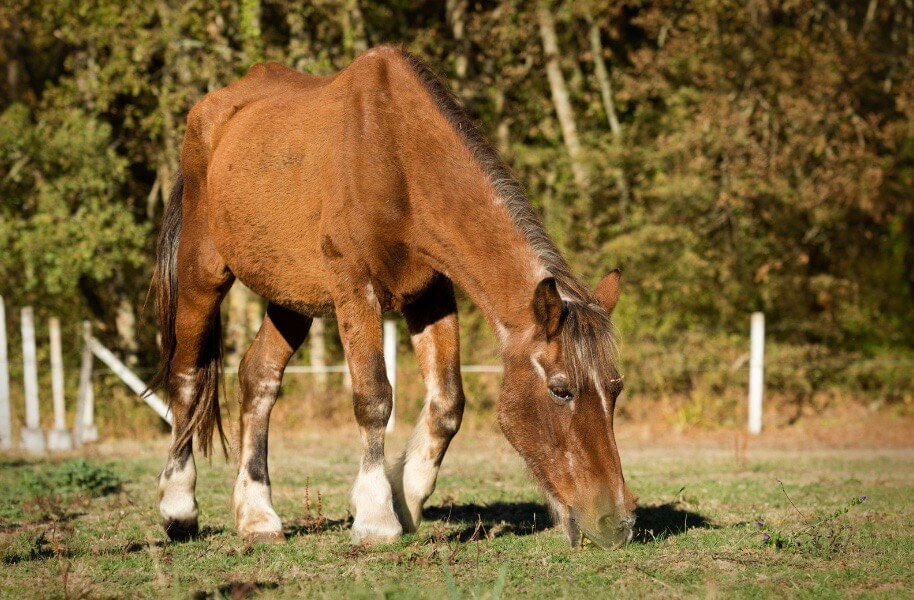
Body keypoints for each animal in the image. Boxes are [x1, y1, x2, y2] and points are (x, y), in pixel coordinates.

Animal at [151, 46, 635, 549]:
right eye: (561, 389)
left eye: (616, 388)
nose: (617, 523)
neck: (397, 156)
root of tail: (210, 112)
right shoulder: (354, 288)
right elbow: (374, 398)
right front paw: (376, 517)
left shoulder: (431, 294)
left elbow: (447, 403)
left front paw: (405, 498)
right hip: (203, 270)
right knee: (186, 377)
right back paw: (178, 507)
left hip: (291, 297)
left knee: (258, 379)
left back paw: (257, 516)